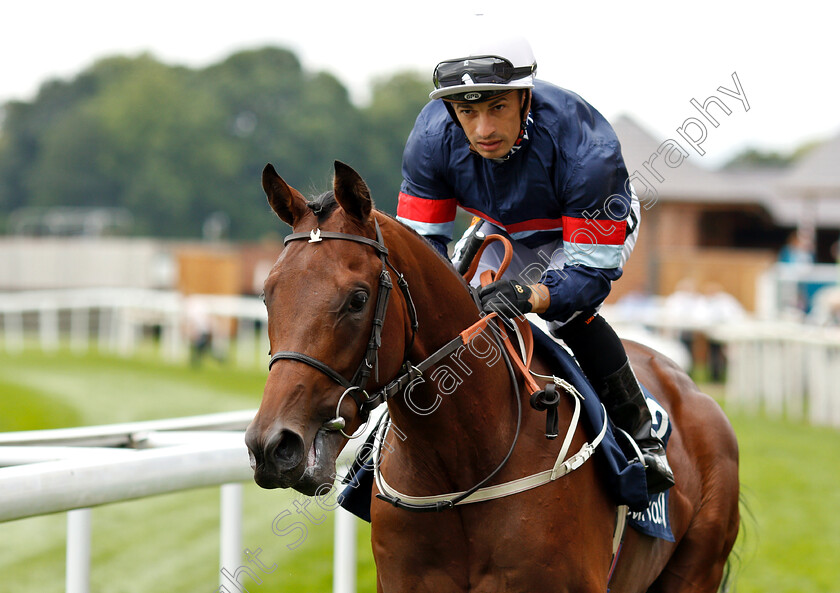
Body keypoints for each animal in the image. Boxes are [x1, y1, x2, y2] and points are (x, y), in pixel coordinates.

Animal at [246, 160, 740, 588]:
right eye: (267, 294)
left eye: (357, 299)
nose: (272, 446)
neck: (460, 468)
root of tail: (693, 388)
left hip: (696, 569)